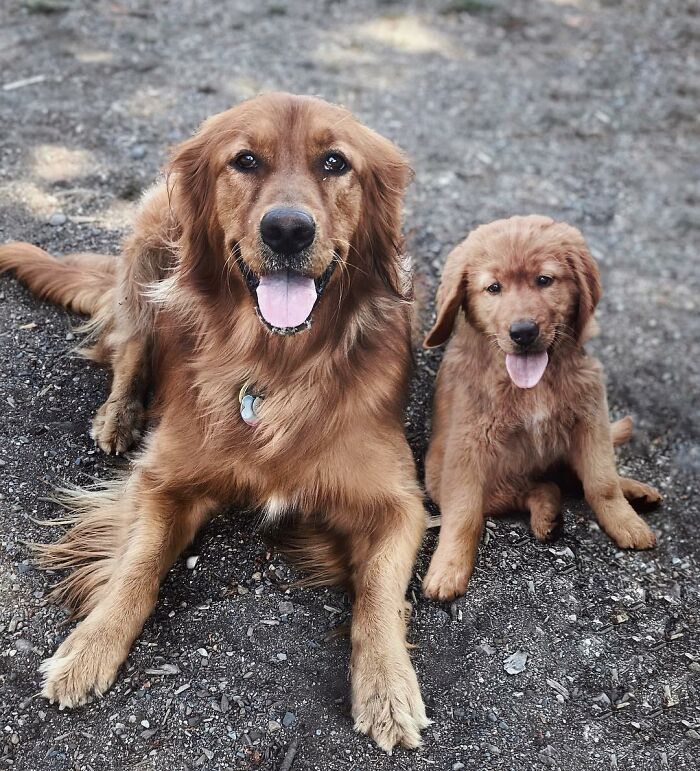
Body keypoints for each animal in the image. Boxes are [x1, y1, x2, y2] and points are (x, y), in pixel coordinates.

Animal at [0, 93, 426, 752]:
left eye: (335, 162)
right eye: (245, 160)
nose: (286, 229)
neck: (279, 364)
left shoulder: (400, 503)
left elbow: (378, 595)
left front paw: (389, 687)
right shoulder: (164, 479)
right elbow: (137, 564)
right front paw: (89, 648)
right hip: (149, 249)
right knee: (129, 346)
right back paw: (118, 416)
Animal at [422, 214, 660, 600]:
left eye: (544, 280)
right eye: (493, 288)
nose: (523, 331)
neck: (533, 383)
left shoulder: (591, 418)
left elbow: (602, 482)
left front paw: (626, 523)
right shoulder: (468, 446)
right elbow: (463, 515)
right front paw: (448, 569)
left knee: (574, 477)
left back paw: (636, 491)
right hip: (456, 478)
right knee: (536, 489)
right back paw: (546, 511)